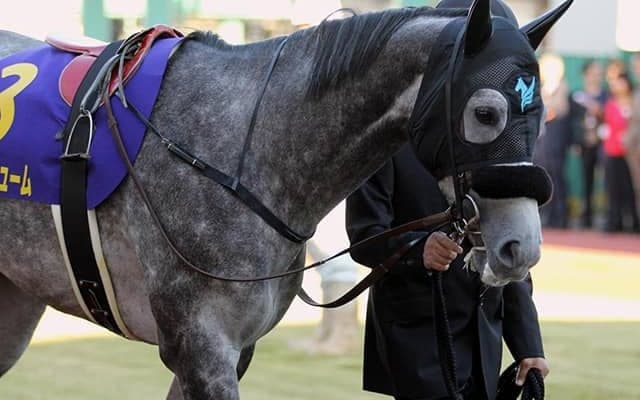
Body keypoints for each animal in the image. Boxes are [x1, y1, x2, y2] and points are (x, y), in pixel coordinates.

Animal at [0, 0, 571, 398]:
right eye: (485, 112)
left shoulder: (234, 349)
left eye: (540, 116)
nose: (521, 247)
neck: (242, 149)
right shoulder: (200, 346)